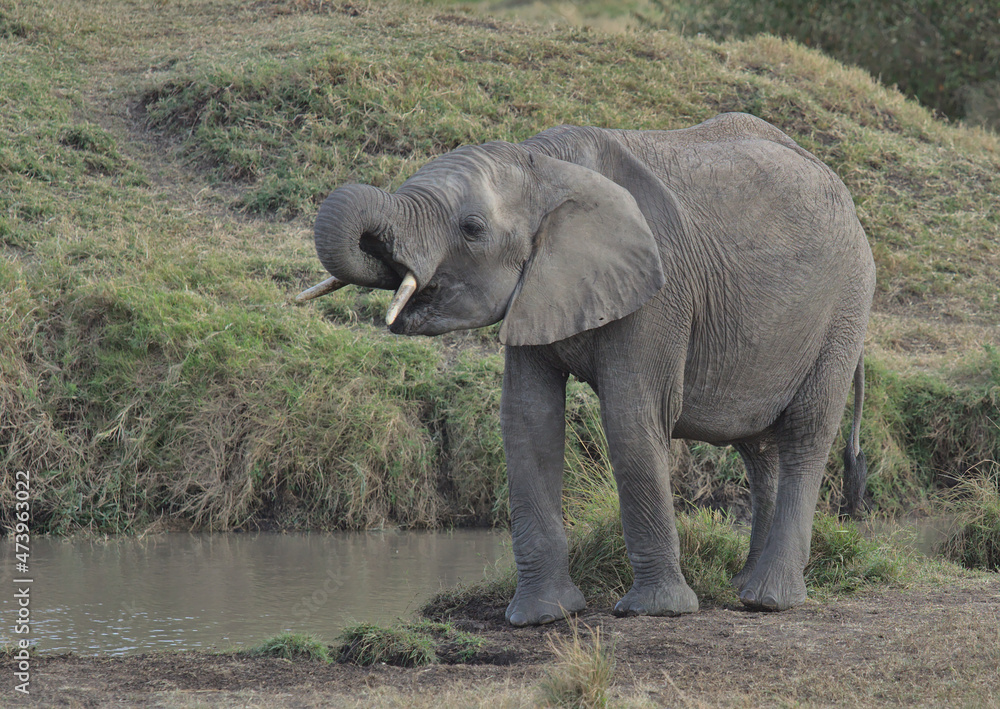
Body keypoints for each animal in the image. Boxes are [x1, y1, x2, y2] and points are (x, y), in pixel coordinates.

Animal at [296, 112, 875, 626]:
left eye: (472, 229)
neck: (544, 163)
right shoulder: (538, 285)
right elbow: (527, 422)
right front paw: (539, 618)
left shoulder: (659, 290)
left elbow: (631, 418)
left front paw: (654, 612)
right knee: (759, 450)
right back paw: (746, 590)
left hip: (845, 307)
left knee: (804, 435)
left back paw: (769, 601)